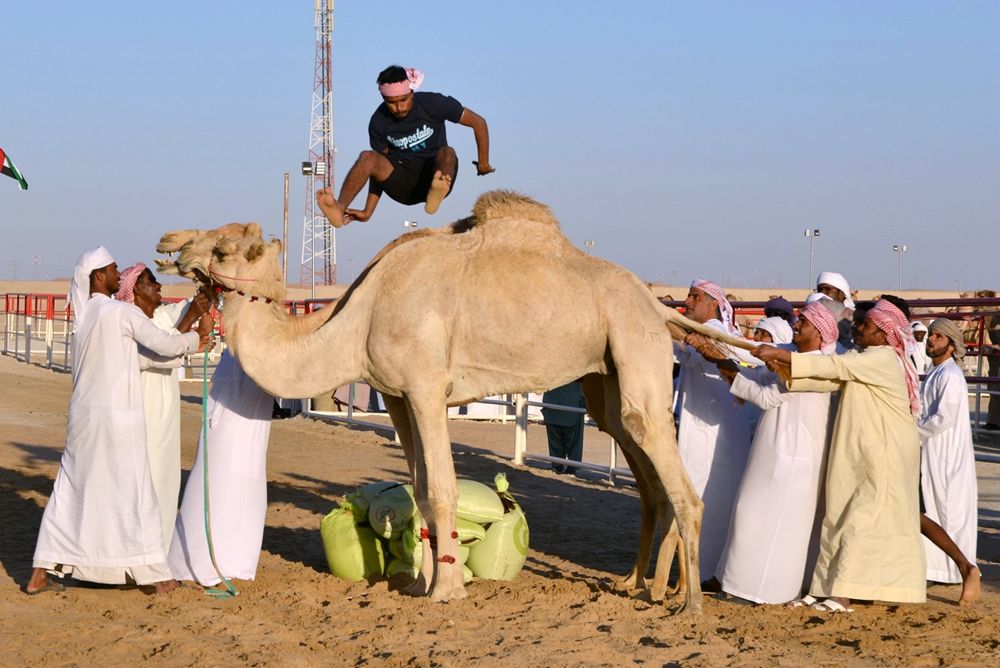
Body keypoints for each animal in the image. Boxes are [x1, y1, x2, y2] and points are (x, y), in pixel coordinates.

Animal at [154, 190, 752, 612]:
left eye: (225, 247)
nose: (168, 242)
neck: (355, 319)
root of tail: (658, 303)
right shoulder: (394, 394)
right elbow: (419, 490)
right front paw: (419, 583)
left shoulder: (425, 387)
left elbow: (442, 489)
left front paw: (448, 591)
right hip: (604, 375)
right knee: (637, 457)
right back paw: (641, 586)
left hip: (635, 342)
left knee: (669, 466)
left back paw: (689, 605)